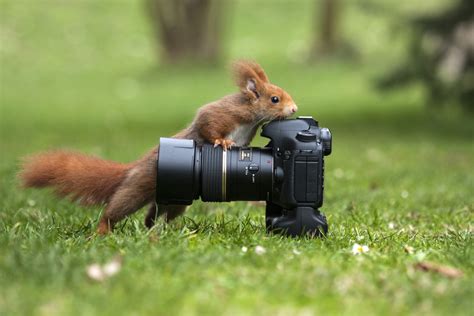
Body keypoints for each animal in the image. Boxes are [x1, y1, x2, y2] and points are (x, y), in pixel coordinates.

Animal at [21, 61, 300, 235]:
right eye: (275, 99)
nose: (294, 109)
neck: (250, 118)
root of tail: (134, 168)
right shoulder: (223, 114)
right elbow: (208, 124)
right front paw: (221, 142)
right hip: (140, 185)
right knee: (117, 208)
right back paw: (103, 230)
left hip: (176, 201)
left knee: (152, 217)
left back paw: (159, 232)